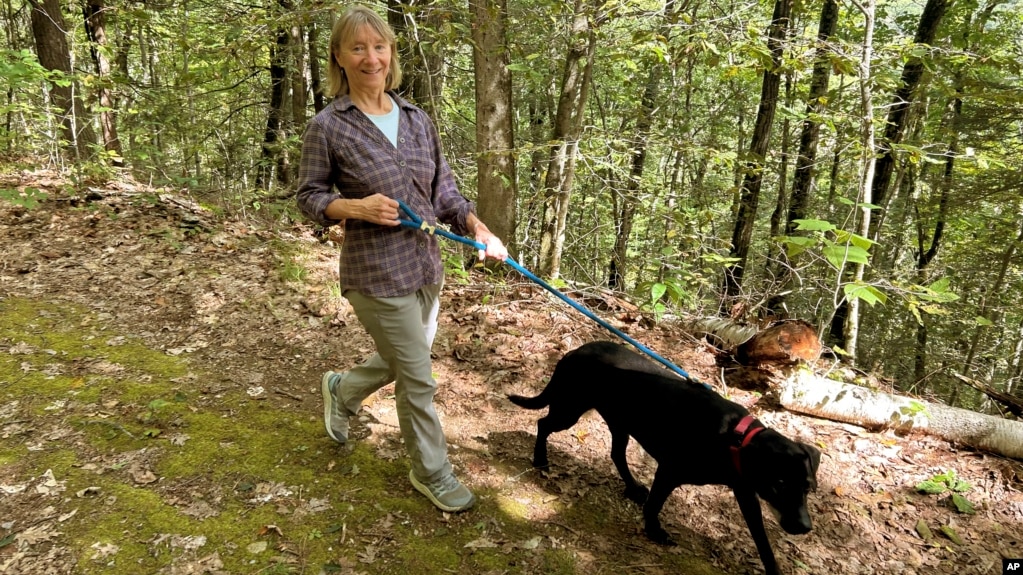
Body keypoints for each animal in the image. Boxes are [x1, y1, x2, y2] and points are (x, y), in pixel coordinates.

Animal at [507, 339, 818, 572]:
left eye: (808, 488)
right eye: (779, 485)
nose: (805, 528)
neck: (734, 438)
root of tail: (575, 351)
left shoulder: (746, 493)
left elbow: (762, 540)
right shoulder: (669, 470)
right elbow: (655, 504)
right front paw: (654, 530)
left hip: (620, 423)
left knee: (616, 454)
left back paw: (633, 488)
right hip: (570, 409)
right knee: (543, 424)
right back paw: (541, 460)